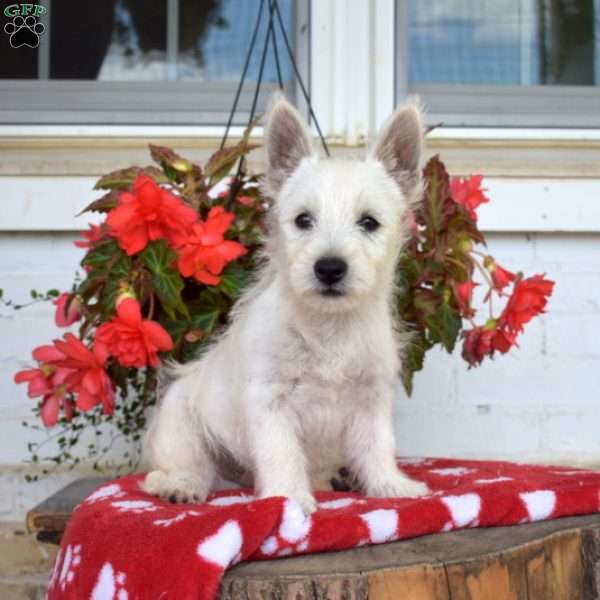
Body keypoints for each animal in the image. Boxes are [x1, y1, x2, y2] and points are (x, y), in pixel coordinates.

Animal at [142, 95, 432, 516]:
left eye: (369, 222)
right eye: (303, 220)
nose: (329, 268)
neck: (329, 328)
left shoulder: (371, 398)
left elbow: (378, 447)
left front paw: (390, 485)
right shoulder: (270, 402)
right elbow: (282, 454)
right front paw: (289, 499)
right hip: (180, 420)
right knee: (180, 467)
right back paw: (180, 485)